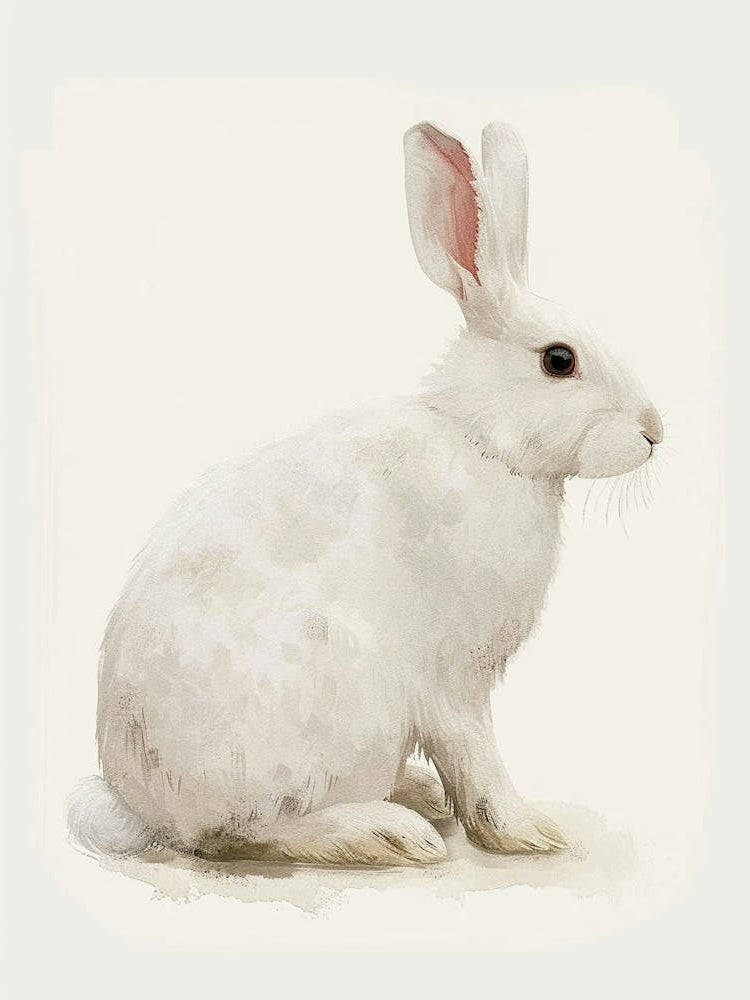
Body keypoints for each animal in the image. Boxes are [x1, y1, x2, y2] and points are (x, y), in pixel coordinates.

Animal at [68, 120, 663, 866]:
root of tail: (145, 808)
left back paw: (415, 796)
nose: (655, 431)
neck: (482, 441)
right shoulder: (453, 679)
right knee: (243, 833)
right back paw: (388, 833)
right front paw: (527, 832)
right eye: (560, 360)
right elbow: (476, 755)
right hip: (332, 712)